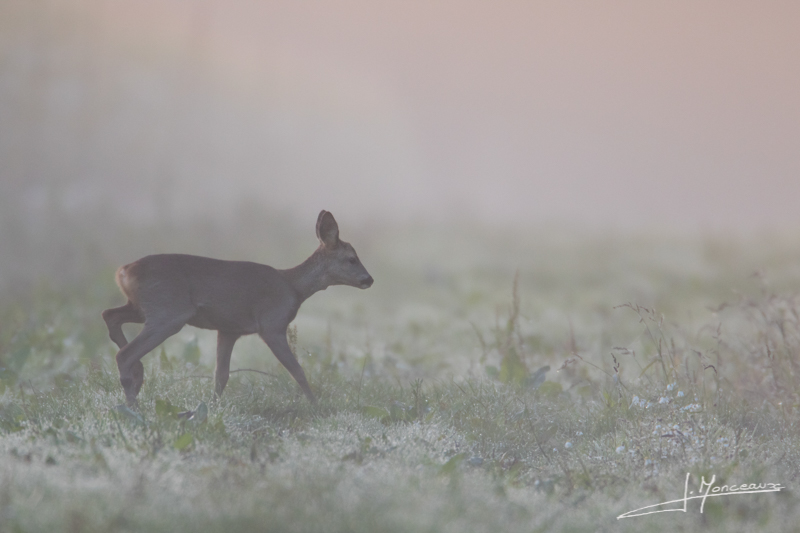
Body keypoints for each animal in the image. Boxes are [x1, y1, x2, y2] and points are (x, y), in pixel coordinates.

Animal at [101, 210, 374, 406]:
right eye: (352, 259)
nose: (369, 279)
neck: (293, 287)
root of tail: (123, 271)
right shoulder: (272, 324)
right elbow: (297, 370)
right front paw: (317, 406)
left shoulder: (228, 330)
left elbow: (221, 376)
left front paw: (212, 407)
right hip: (167, 312)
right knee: (123, 353)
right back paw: (133, 403)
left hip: (143, 308)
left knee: (109, 315)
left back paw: (137, 375)